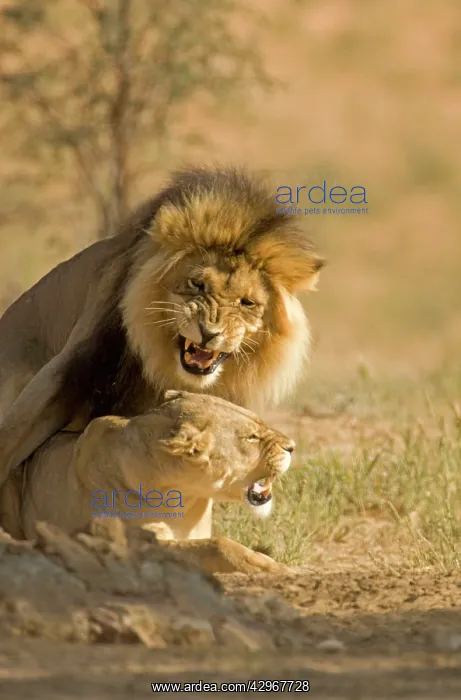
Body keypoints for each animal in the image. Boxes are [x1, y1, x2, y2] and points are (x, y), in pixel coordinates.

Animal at [0, 166, 323, 492]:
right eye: (197, 284)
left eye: (247, 303)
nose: (210, 333)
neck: (163, 370)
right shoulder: (71, 369)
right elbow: (12, 437)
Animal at [0, 391, 295, 573]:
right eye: (251, 438)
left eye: (260, 423)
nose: (292, 446)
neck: (187, 499)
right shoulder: (132, 544)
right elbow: (217, 545)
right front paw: (273, 568)